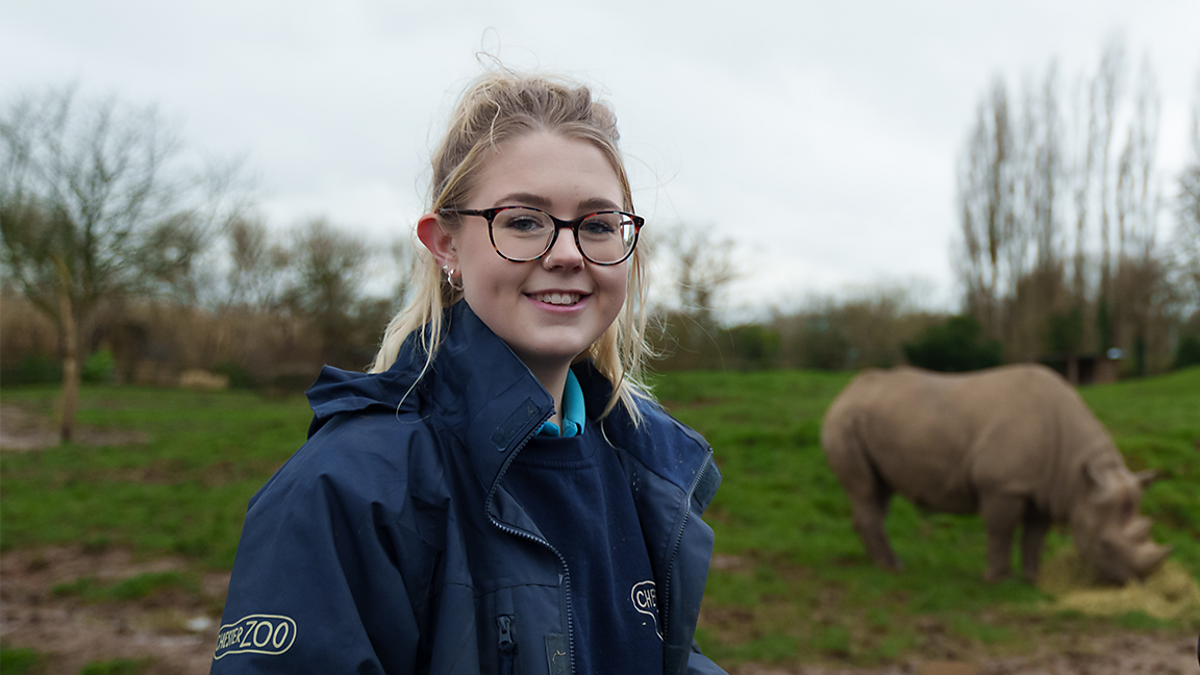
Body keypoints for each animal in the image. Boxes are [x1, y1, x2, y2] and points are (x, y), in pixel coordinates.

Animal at [820, 362, 1166, 583]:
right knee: (865, 490)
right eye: (1105, 545)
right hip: (844, 421)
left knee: (879, 491)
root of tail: (846, 392)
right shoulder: (1004, 486)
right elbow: (1001, 530)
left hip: (864, 420)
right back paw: (894, 568)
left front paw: (1032, 579)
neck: (1079, 475)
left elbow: (1034, 536)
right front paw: (996, 579)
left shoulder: (1047, 489)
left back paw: (879, 564)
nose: (1135, 583)